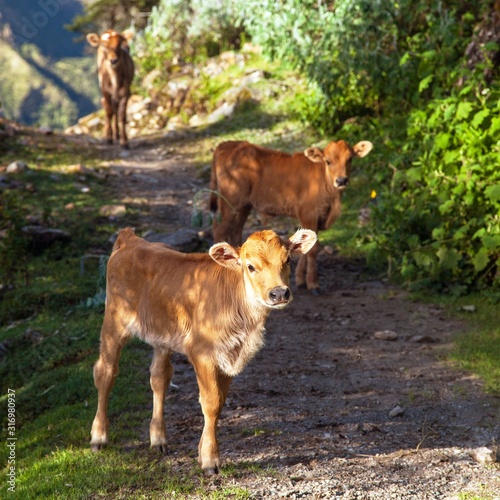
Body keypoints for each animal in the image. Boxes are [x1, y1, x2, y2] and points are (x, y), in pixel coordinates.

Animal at [90, 227, 316, 472]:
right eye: (250, 266)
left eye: (287, 260)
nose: (279, 293)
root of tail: (131, 239)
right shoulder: (202, 353)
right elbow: (211, 402)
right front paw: (210, 460)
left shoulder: (231, 356)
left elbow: (220, 402)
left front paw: (201, 452)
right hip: (114, 322)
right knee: (105, 372)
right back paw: (98, 437)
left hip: (162, 335)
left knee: (159, 377)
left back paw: (158, 440)